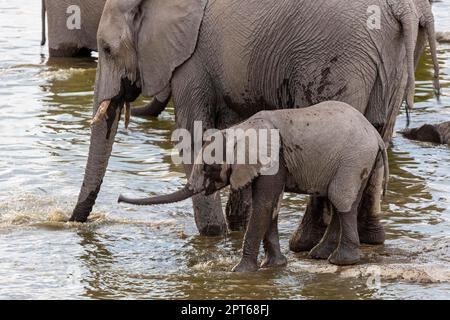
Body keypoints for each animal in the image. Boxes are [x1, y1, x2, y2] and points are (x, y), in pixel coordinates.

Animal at [69, 0, 440, 248]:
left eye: (107, 49)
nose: (73, 223)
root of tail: (404, 9)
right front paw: (236, 227)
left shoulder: (192, 58)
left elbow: (192, 134)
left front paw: (214, 234)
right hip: (395, 61)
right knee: (378, 136)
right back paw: (368, 240)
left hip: (338, 58)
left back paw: (303, 245)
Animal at [120, 101, 390, 272]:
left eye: (208, 167)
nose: (120, 198)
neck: (239, 129)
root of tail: (376, 136)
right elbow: (271, 208)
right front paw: (274, 266)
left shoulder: (274, 159)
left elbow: (264, 206)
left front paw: (238, 271)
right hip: (359, 161)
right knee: (341, 202)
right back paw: (322, 256)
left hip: (353, 159)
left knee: (340, 199)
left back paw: (341, 262)